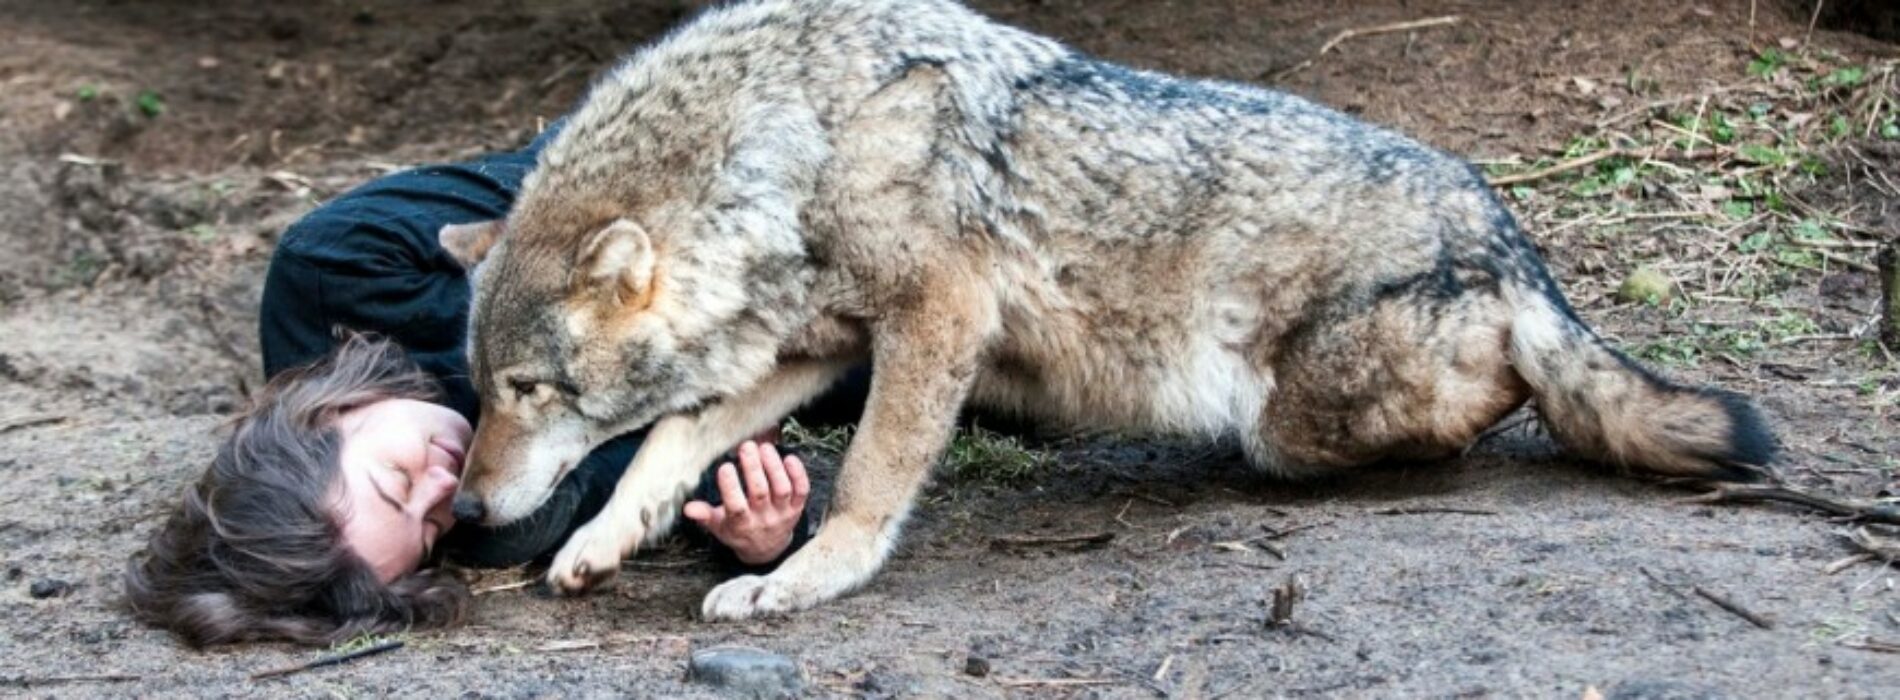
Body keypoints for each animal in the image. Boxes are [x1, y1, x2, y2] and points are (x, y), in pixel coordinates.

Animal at [437, 0, 1770, 623]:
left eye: (531, 391)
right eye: (490, 390)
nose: (465, 512)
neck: (797, 135)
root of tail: (1514, 239)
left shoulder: (933, 318)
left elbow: (866, 480)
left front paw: (803, 580)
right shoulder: (812, 347)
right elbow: (660, 450)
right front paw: (596, 543)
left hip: (1291, 414)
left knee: (1493, 402)